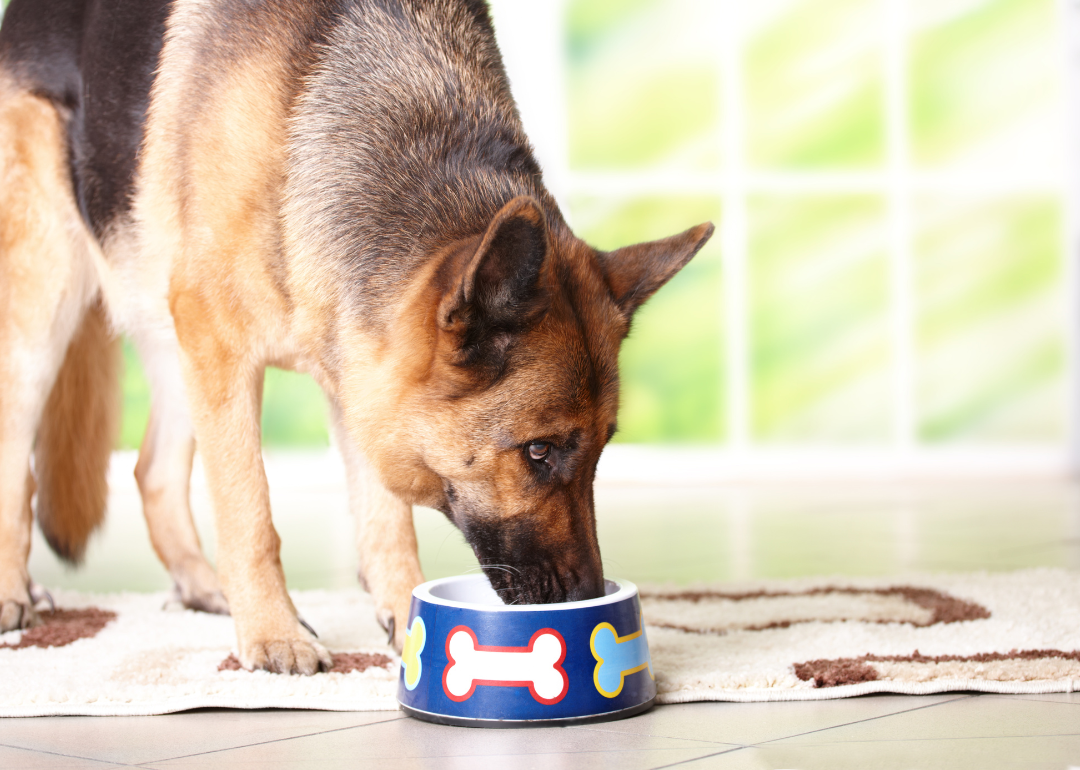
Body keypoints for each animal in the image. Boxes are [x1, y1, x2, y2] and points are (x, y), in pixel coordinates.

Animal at [0, 0, 712, 673]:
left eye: (601, 449)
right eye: (537, 452)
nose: (589, 596)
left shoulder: (361, 370)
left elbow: (386, 517)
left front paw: (406, 618)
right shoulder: (225, 346)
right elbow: (249, 511)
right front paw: (274, 634)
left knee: (150, 470)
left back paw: (204, 586)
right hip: (46, 312)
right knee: (18, 454)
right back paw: (16, 594)